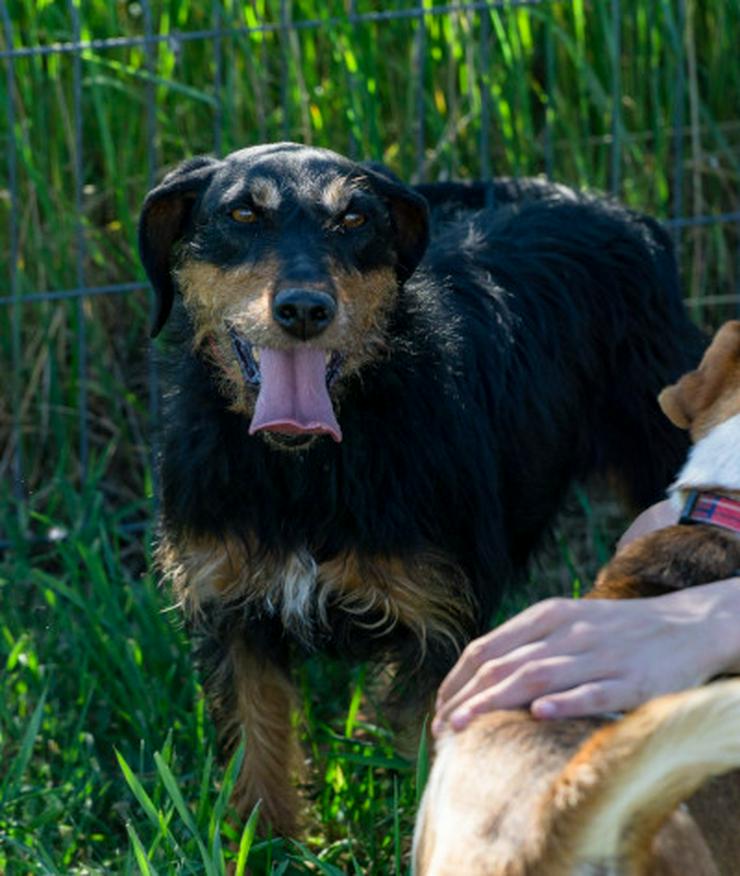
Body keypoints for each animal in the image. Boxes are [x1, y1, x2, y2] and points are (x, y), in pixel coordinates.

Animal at [140, 142, 704, 828]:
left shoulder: (441, 629)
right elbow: (257, 747)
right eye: (243, 213)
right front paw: (268, 840)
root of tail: (622, 211)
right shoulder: (232, 612)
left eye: (355, 219)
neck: (307, 467)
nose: (304, 310)